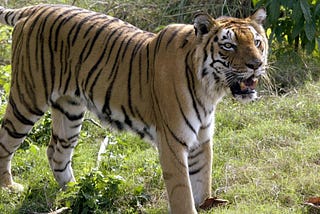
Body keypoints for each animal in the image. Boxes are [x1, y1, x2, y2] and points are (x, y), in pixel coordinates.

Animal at [0, 4, 268, 213]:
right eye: (229, 46)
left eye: (257, 42)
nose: (257, 65)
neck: (210, 88)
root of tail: (34, 9)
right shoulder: (173, 141)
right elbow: (182, 192)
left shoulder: (201, 139)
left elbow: (202, 181)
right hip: (27, 98)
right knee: (5, 141)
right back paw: (10, 188)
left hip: (70, 109)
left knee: (56, 151)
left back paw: (75, 192)